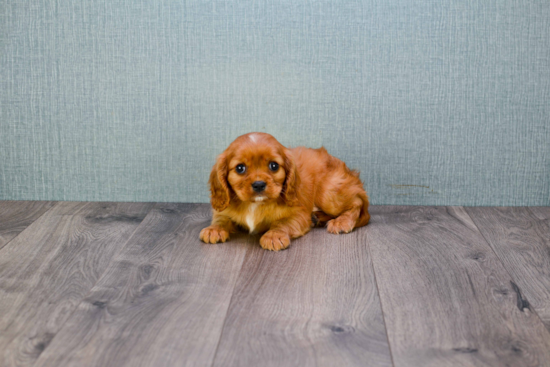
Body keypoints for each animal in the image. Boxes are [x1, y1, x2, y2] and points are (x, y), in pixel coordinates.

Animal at [198, 134, 370, 252]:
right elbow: (221, 219)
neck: (255, 204)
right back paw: (317, 218)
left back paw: (342, 222)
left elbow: (282, 222)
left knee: (357, 202)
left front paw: (274, 235)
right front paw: (214, 229)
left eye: (274, 166)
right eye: (240, 168)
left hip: (328, 194)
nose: (259, 184)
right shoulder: (223, 210)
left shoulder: (299, 215)